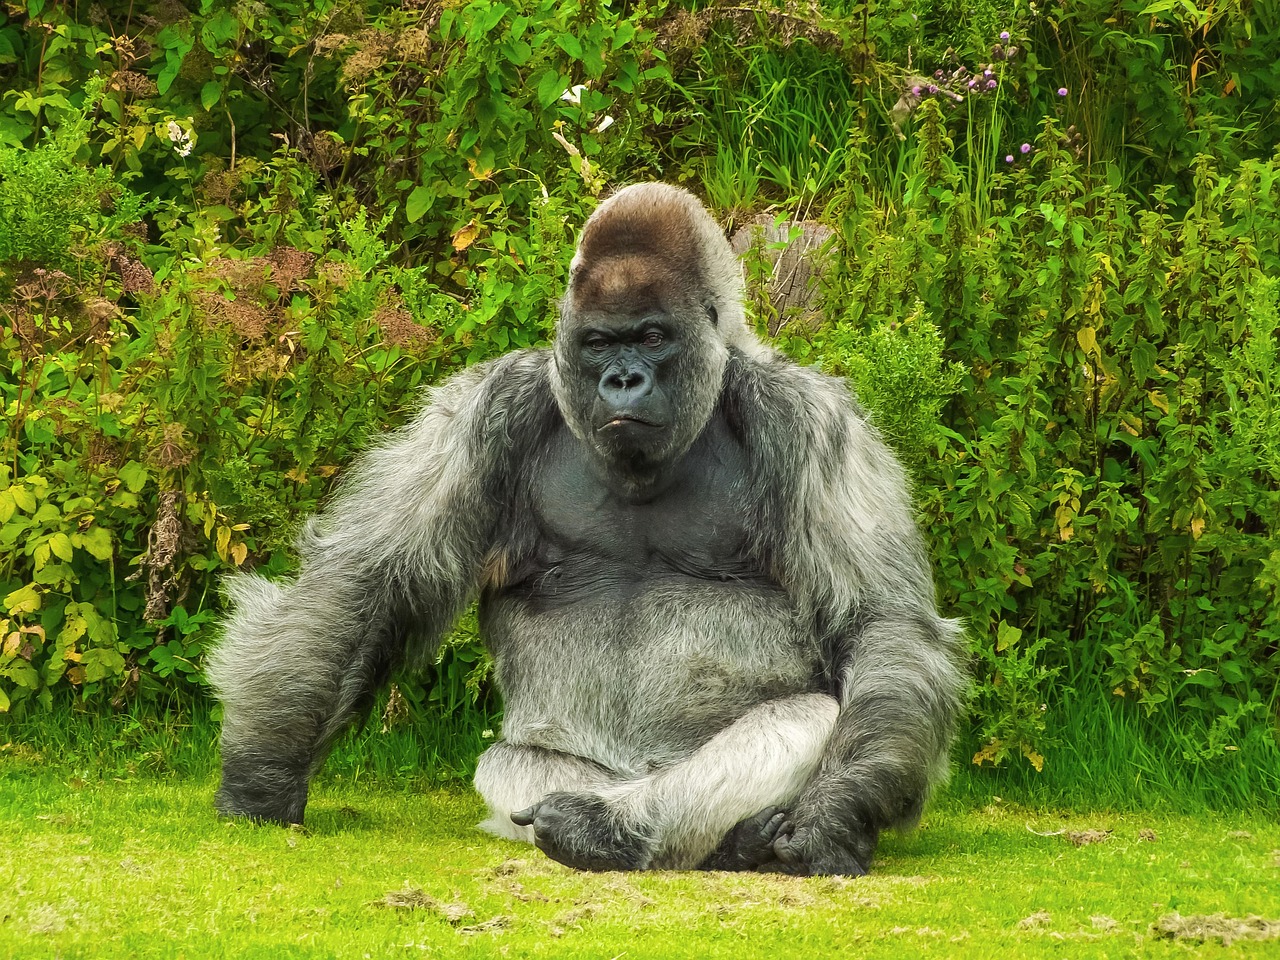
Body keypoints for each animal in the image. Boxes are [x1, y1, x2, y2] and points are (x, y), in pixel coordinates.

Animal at [205, 183, 966, 876]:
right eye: (600, 342)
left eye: (652, 337)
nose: (623, 381)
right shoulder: (483, 411)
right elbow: (365, 583)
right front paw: (262, 775)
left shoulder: (812, 421)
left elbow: (879, 625)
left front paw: (836, 811)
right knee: (512, 762)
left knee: (809, 717)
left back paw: (620, 828)